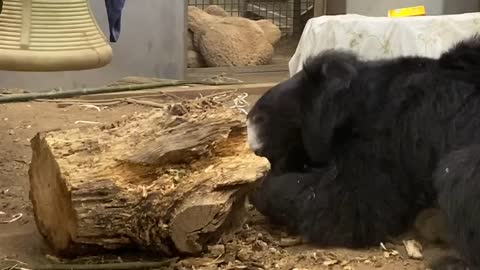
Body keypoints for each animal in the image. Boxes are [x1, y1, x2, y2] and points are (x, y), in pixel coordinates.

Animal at [248, 35, 480, 270]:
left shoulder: (383, 139)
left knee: (457, 174)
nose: (253, 144)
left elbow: (347, 204)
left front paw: (260, 188)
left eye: (262, 119)